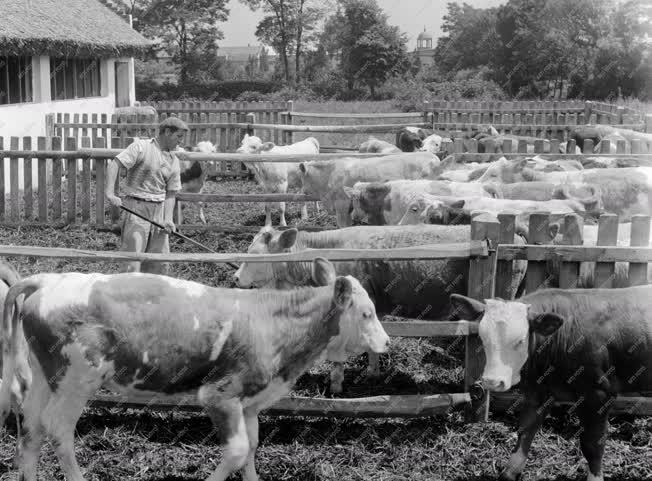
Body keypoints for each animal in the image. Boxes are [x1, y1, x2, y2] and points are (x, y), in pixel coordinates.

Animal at [0, 262, 388, 480]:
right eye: (366, 312)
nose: (386, 343)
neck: (270, 320)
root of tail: (48, 280)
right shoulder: (219, 395)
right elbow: (236, 451)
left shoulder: (249, 403)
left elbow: (251, 447)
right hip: (76, 382)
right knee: (58, 430)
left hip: (45, 379)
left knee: (31, 430)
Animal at [450, 284, 652, 480]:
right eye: (483, 338)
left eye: (520, 340)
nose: (492, 381)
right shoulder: (538, 391)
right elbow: (526, 429)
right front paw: (510, 473)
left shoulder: (598, 394)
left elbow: (592, 445)